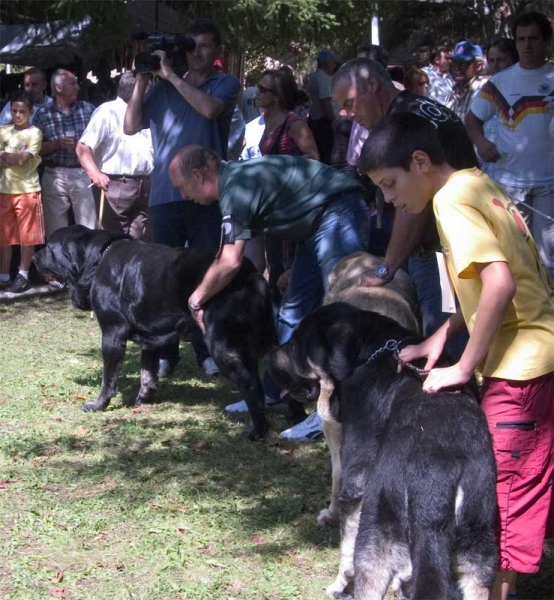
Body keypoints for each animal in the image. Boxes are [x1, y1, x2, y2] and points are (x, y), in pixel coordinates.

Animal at [34, 225, 276, 440]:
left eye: (49, 248)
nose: (35, 256)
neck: (96, 260)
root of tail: (251, 274)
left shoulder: (112, 334)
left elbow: (108, 379)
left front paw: (98, 404)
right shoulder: (151, 340)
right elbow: (147, 374)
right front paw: (141, 399)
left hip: (221, 345)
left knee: (249, 384)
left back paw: (257, 431)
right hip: (248, 346)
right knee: (256, 381)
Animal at [266, 304, 494, 600]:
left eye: (295, 344)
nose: (267, 358)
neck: (370, 349)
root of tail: (440, 473)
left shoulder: (355, 473)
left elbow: (346, 536)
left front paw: (340, 582)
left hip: (378, 533)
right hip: (478, 554)